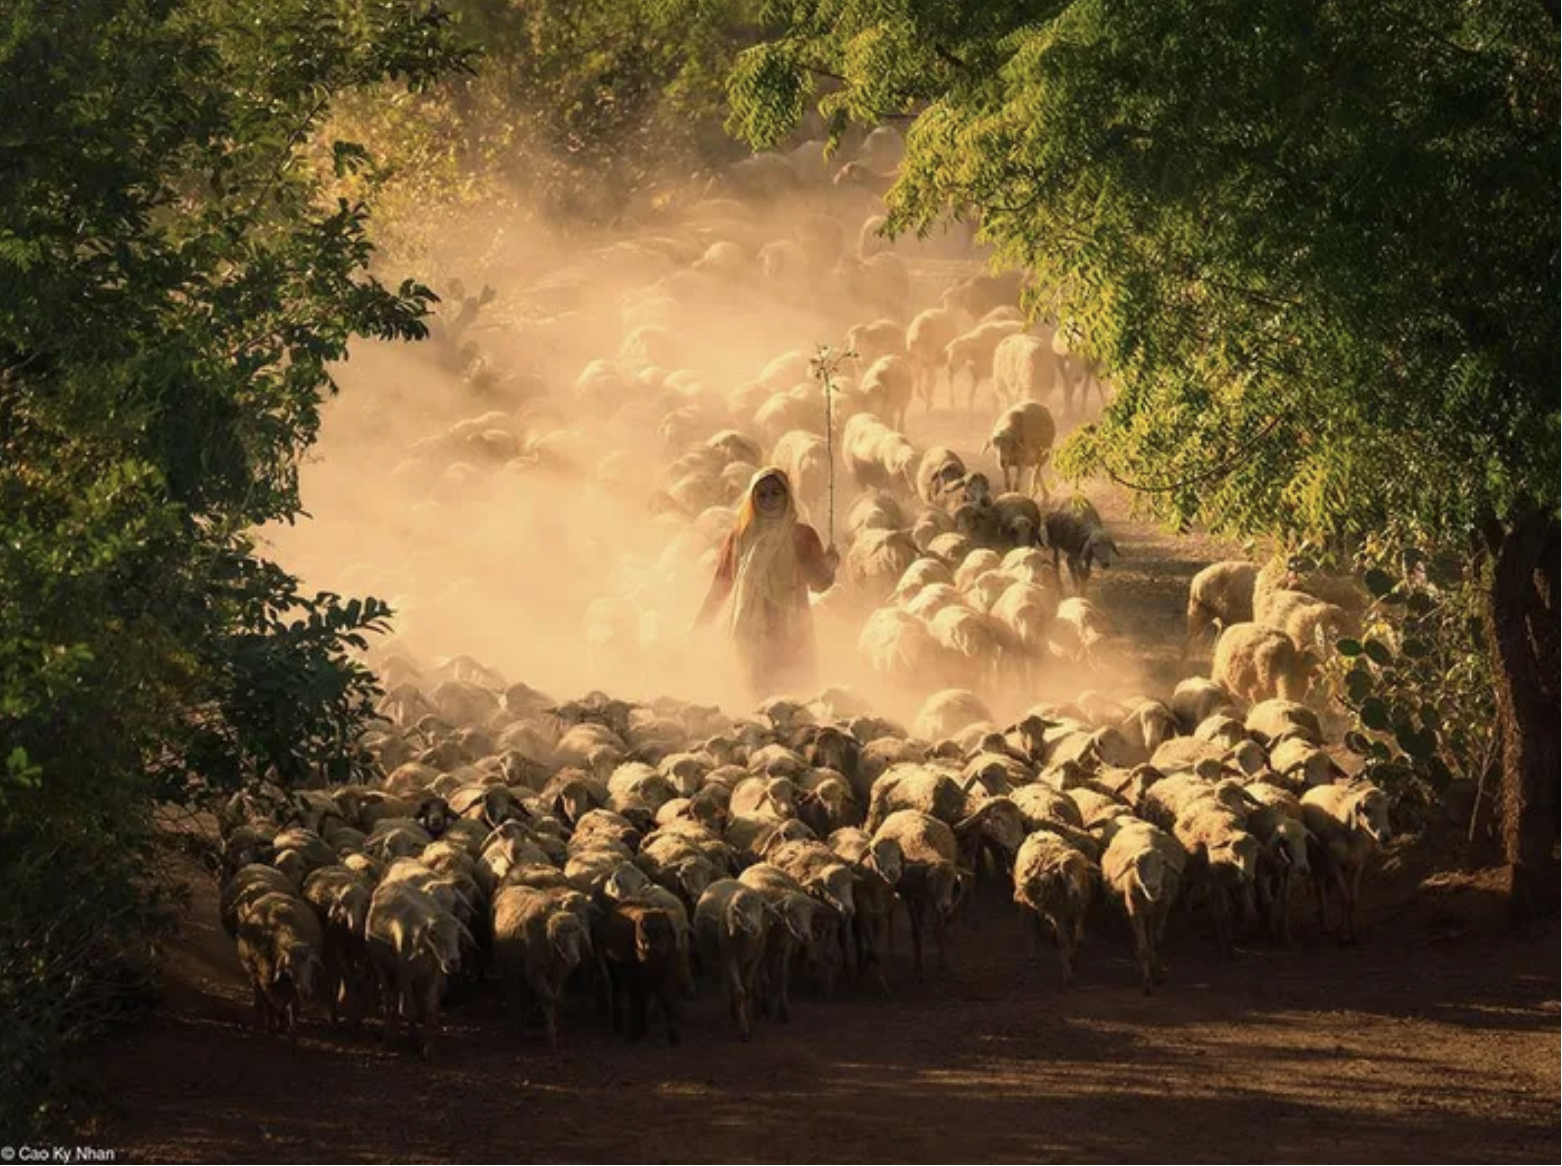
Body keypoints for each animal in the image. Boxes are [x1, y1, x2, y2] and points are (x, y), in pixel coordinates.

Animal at [234, 887, 323, 1037]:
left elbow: (293, 1007)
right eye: (288, 966)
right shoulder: (266, 980)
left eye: (310, 965)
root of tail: (275, 893)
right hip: (254, 973)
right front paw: (275, 1025)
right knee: (261, 997)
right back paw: (262, 1015)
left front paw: (292, 1029)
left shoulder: (291, 987)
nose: (306, 992)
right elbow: (274, 1006)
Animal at [696, 875, 768, 1037]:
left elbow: (748, 989)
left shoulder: (755, 958)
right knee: (726, 985)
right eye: (738, 911)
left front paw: (750, 1020)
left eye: (759, 908)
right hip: (721, 957)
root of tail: (722, 879)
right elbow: (739, 992)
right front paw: (744, 1029)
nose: (755, 928)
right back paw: (730, 1017)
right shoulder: (730, 958)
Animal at [1012, 825, 1099, 981]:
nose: (1075, 892)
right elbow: (1063, 942)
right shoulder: (1059, 915)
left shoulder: (1077, 911)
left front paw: (1071, 955)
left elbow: (1075, 939)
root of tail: (1040, 832)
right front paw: (1067, 972)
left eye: (1082, 870)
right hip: (1025, 902)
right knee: (1029, 929)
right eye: (1063, 872)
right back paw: (1032, 956)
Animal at [1099, 819, 1180, 987]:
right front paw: (1147, 982)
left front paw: (1158, 972)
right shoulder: (1135, 909)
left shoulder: (1164, 908)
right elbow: (1143, 947)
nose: (1152, 887)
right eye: (1136, 864)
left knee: (1151, 936)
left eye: (1162, 863)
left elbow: (1157, 942)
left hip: (1152, 912)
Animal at [1305, 775, 1393, 937]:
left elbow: (1353, 899)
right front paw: (1345, 934)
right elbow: (1344, 898)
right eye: (1366, 809)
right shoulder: (1333, 862)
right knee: (1320, 887)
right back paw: (1324, 923)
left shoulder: (1358, 862)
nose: (1386, 836)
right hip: (1316, 857)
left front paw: (1352, 930)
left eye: (1386, 808)